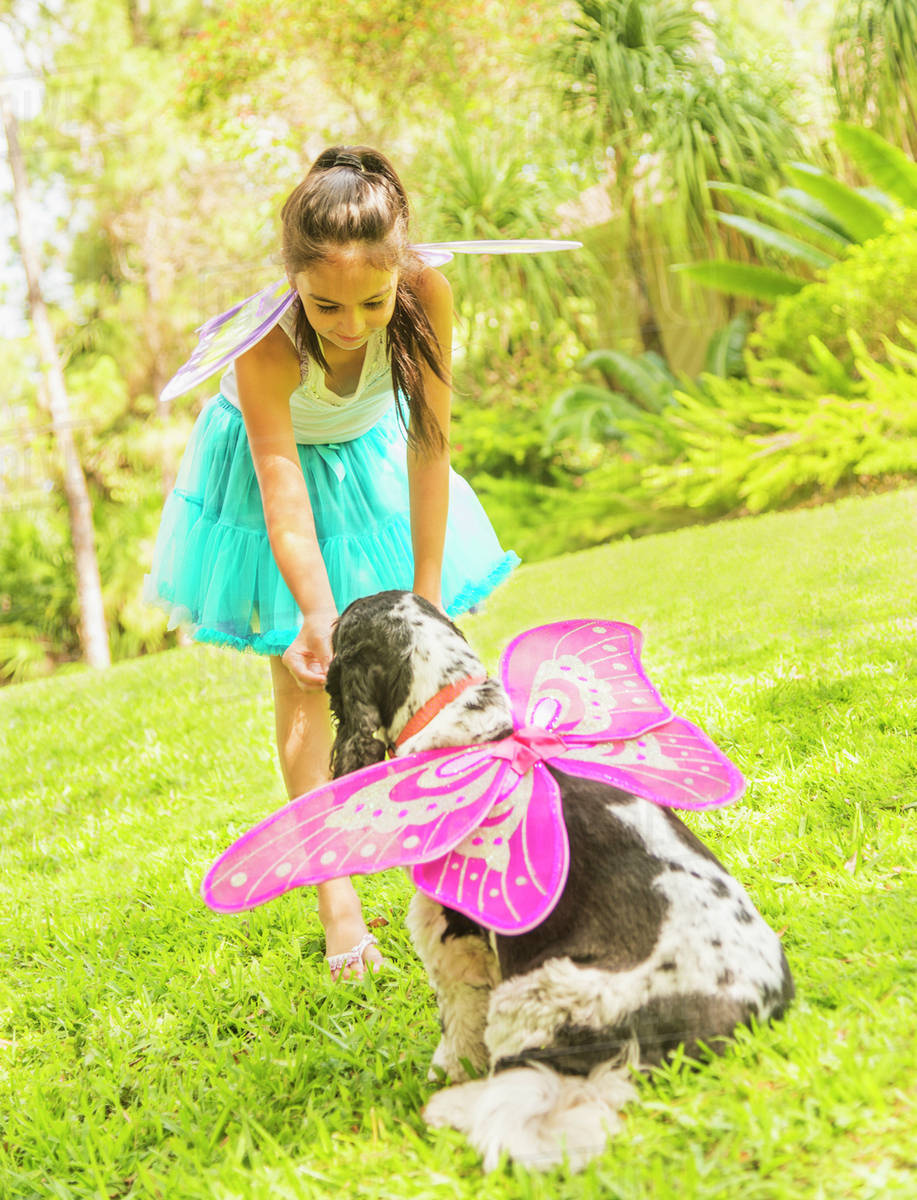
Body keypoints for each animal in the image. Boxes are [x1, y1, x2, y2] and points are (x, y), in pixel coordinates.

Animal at [326, 590, 792, 1171]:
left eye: (335, 635)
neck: (456, 706)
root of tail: (742, 1023)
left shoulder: (452, 935)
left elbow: (459, 1022)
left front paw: (444, 1073)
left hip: (537, 991)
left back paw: (450, 1108)